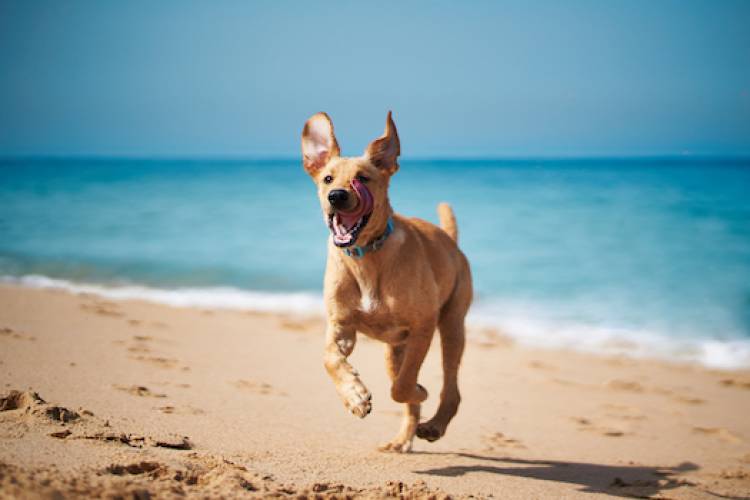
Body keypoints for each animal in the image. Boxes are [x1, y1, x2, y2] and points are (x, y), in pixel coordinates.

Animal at [302, 110, 472, 454]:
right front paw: (354, 396)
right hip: (394, 350)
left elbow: (402, 387)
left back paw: (434, 424)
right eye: (327, 179)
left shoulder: (423, 326)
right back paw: (402, 440)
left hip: (451, 326)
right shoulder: (341, 326)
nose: (336, 196)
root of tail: (450, 241)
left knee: (450, 388)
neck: (366, 257)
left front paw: (418, 389)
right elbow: (329, 358)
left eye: (363, 178)